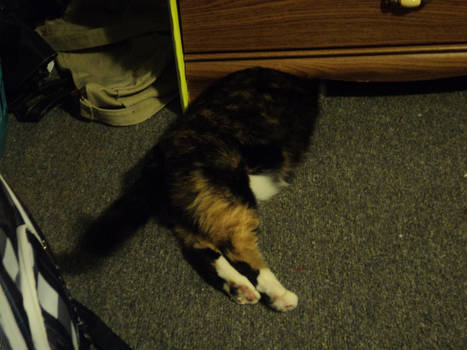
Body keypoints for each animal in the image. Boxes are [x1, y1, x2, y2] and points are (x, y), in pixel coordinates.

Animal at [88, 67, 318, 312]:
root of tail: (158, 156)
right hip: (230, 193)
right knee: (236, 245)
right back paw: (279, 295)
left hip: (193, 209)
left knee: (199, 247)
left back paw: (239, 288)